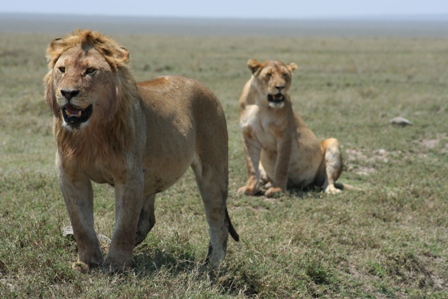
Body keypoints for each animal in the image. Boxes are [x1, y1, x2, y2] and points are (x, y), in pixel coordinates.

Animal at [44, 30, 240, 274]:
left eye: (90, 70)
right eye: (62, 69)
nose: (68, 93)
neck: (91, 134)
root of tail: (204, 87)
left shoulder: (130, 175)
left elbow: (123, 225)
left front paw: (117, 265)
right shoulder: (71, 174)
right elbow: (81, 223)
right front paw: (87, 262)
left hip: (213, 168)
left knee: (218, 221)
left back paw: (212, 266)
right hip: (151, 179)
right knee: (148, 219)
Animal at [240, 59, 344, 198]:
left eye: (285, 75)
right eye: (269, 75)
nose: (280, 87)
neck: (261, 104)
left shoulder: (285, 135)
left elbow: (281, 165)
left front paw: (277, 189)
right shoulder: (248, 135)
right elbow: (251, 165)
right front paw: (251, 189)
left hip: (333, 143)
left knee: (328, 180)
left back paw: (331, 189)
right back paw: (268, 184)